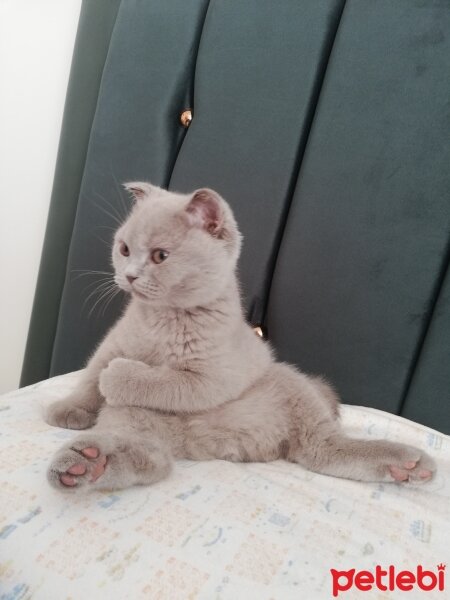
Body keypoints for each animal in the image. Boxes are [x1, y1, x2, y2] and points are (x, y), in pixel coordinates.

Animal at [44, 184, 436, 492]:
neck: (163, 321)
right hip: (131, 421)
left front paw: (120, 375)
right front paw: (68, 409)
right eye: (124, 249)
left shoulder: (211, 378)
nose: (129, 275)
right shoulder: (113, 344)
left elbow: (159, 380)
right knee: (151, 459)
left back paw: (409, 464)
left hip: (294, 391)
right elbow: (90, 377)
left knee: (327, 448)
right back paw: (87, 463)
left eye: (160, 255)